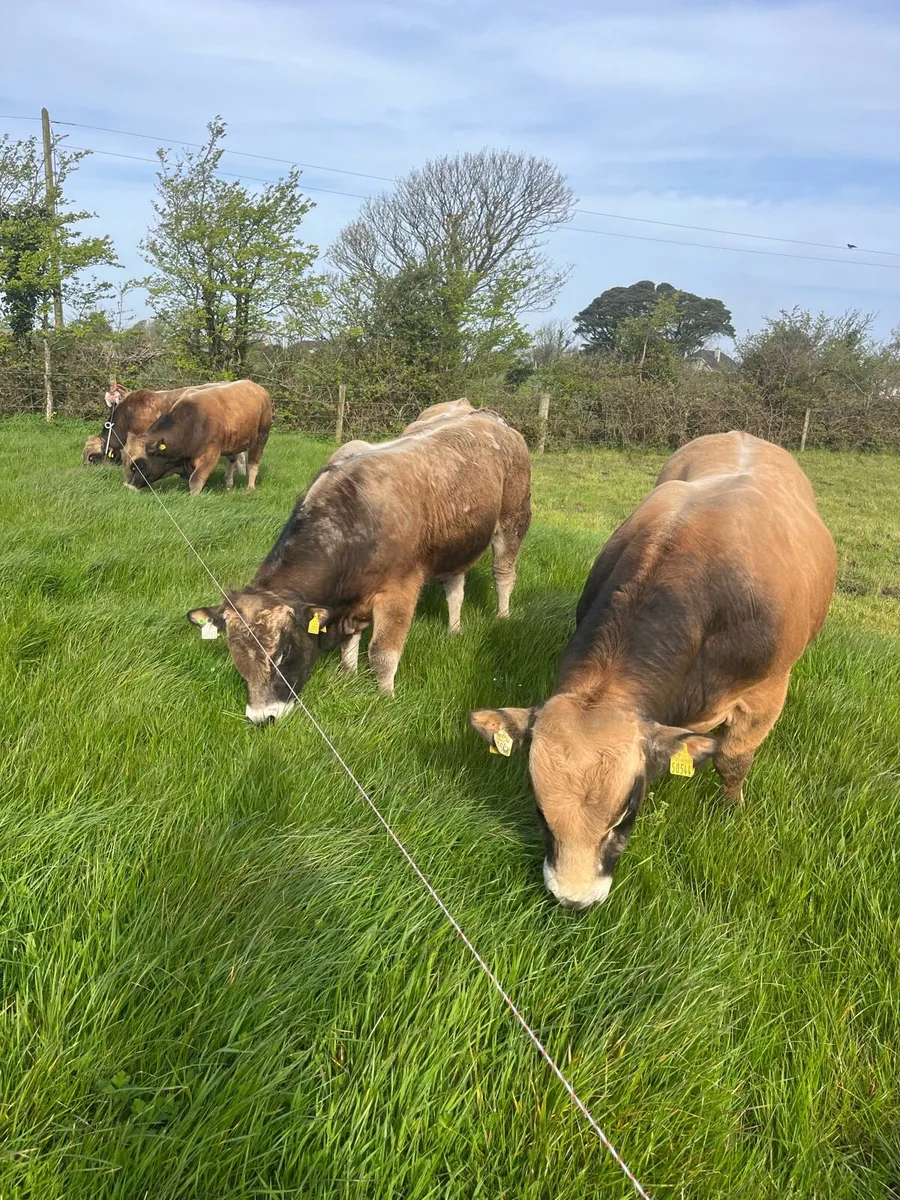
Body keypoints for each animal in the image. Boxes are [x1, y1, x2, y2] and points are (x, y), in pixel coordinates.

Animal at [123, 380, 272, 495]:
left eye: (139, 464)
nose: (128, 486)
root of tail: (256, 387)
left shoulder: (211, 454)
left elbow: (196, 479)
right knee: (232, 460)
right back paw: (228, 484)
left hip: (262, 436)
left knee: (253, 462)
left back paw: (250, 487)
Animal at [186, 405, 532, 723]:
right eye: (237, 659)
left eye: (283, 653)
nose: (261, 718)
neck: (356, 517)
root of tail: (485, 415)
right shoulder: (352, 600)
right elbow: (350, 642)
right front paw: (347, 673)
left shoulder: (399, 592)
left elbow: (382, 654)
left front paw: (386, 696)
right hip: (457, 545)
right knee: (455, 588)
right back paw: (454, 629)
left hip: (512, 521)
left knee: (503, 573)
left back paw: (502, 616)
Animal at [469, 431, 836, 910]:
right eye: (540, 811)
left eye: (625, 813)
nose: (573, 899)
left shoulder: (765, 692)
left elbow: (733, 759)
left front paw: (729, 811)